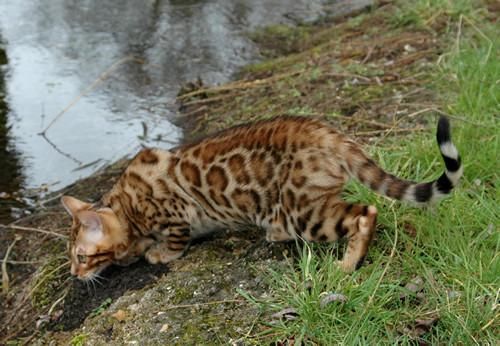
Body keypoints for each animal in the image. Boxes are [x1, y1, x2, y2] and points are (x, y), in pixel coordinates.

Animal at [61, 117, 460, 280]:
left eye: (81, 256)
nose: (74, 274)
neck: (123, 205)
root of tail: (324, 131)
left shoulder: (175, 213)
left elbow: (175, 240)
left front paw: (157, 253)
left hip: (306, 211)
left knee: (365, 213)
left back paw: (348, 264)